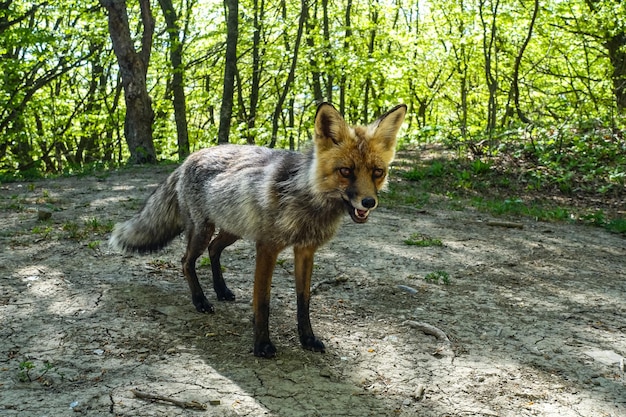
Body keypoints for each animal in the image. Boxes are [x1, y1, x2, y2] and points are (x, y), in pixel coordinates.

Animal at [109, 101, 408, 358]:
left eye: (377, 172)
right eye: (346, 171)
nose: (369, 202)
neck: (305, 199)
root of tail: (188, 158)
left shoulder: (305, 250)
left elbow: (304, 301)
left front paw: (307, 339)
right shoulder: (267, 247)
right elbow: (262, 302)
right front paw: (262, 345)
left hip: (233, 229)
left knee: (214, 250)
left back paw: (221, 290)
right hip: (203, 231)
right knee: (186, 261)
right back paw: (200, 301)